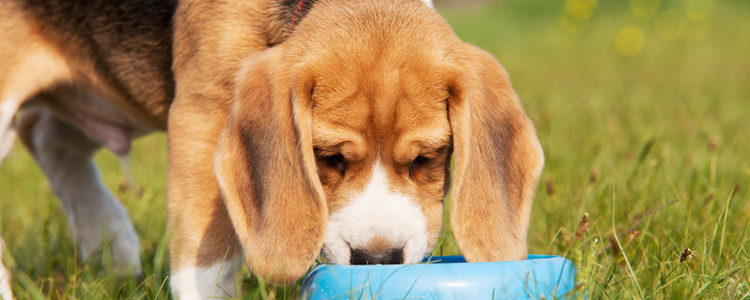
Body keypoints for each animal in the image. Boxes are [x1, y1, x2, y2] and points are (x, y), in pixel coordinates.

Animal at [0, 0, 544, 298]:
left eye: (426, 159)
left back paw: (110, 243)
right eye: (329, 158)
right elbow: (206, 260)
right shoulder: (202, 118)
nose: (377, 259)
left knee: (47, 135)